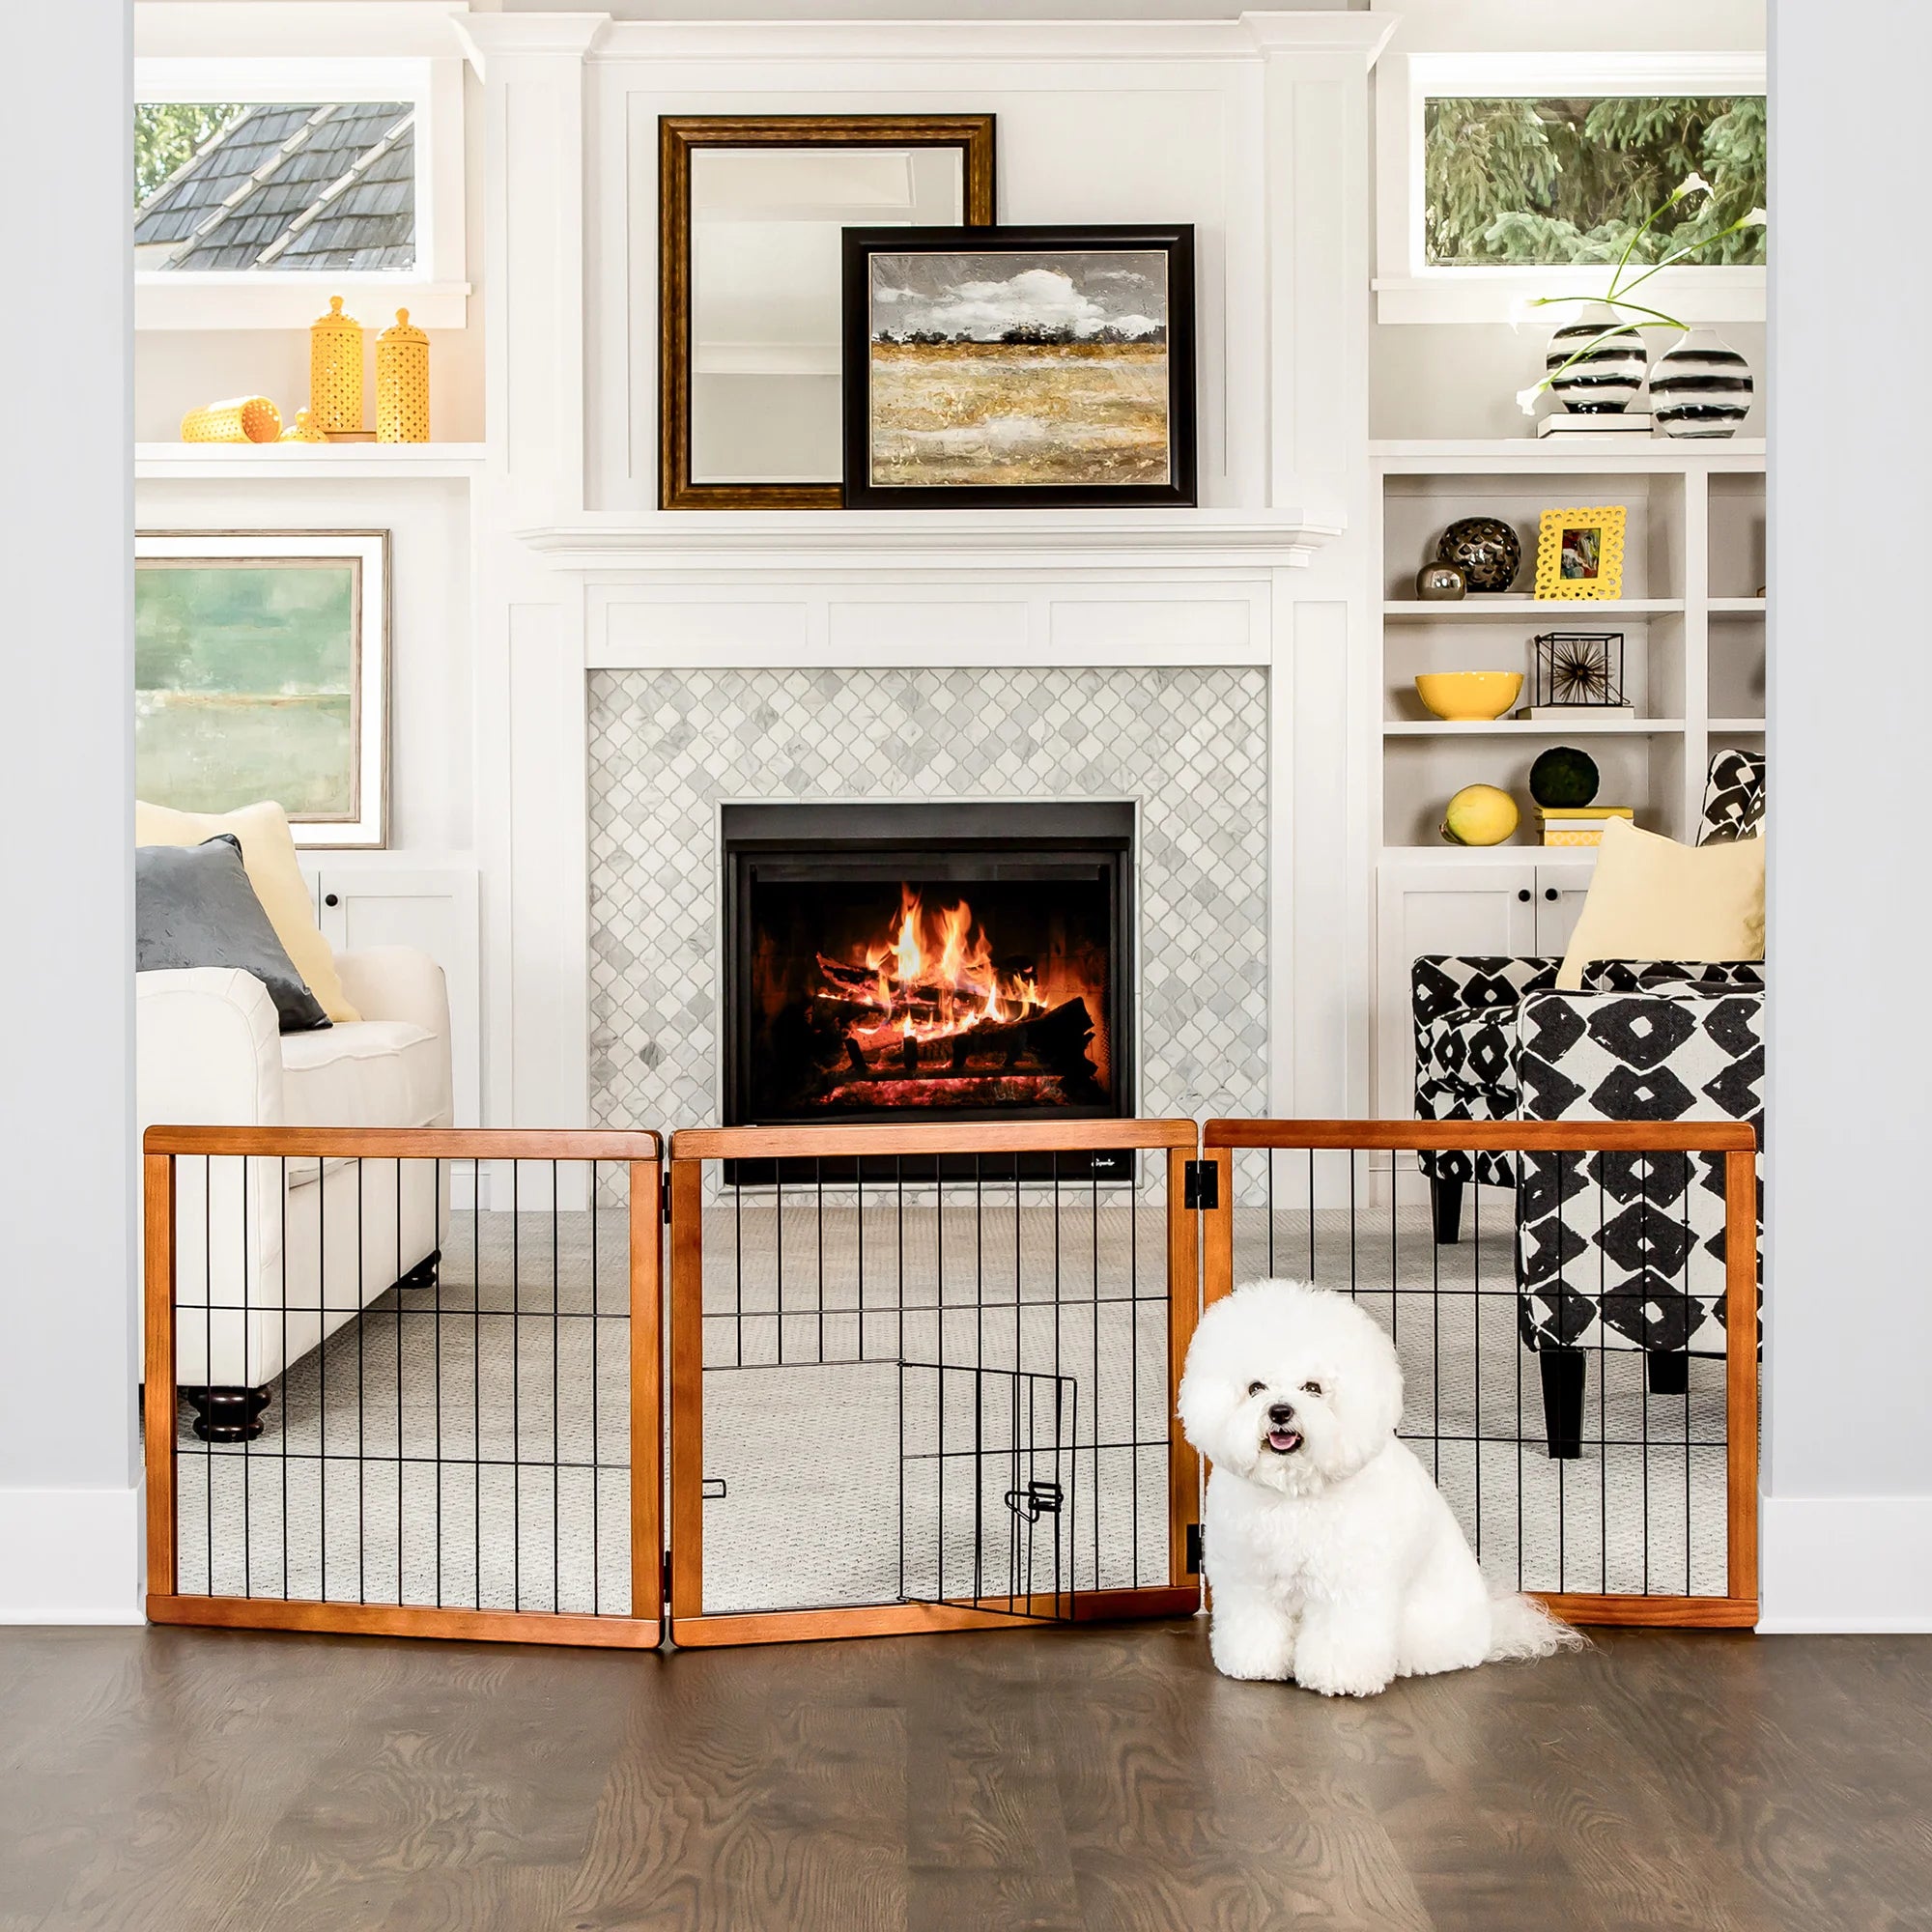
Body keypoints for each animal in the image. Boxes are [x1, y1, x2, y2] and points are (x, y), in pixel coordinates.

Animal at [1175, 1275, 1569, 1700]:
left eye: (1313, 1388)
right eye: (1255, 1388)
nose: (1280, 1411)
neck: (1296, 1493)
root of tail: (1492, 1627)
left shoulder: (1348, 1585)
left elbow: (1342, 1636)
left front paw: (1338, 1678)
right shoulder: (1251, 1579)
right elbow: (1255, 1625)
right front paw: (1253, 1665)